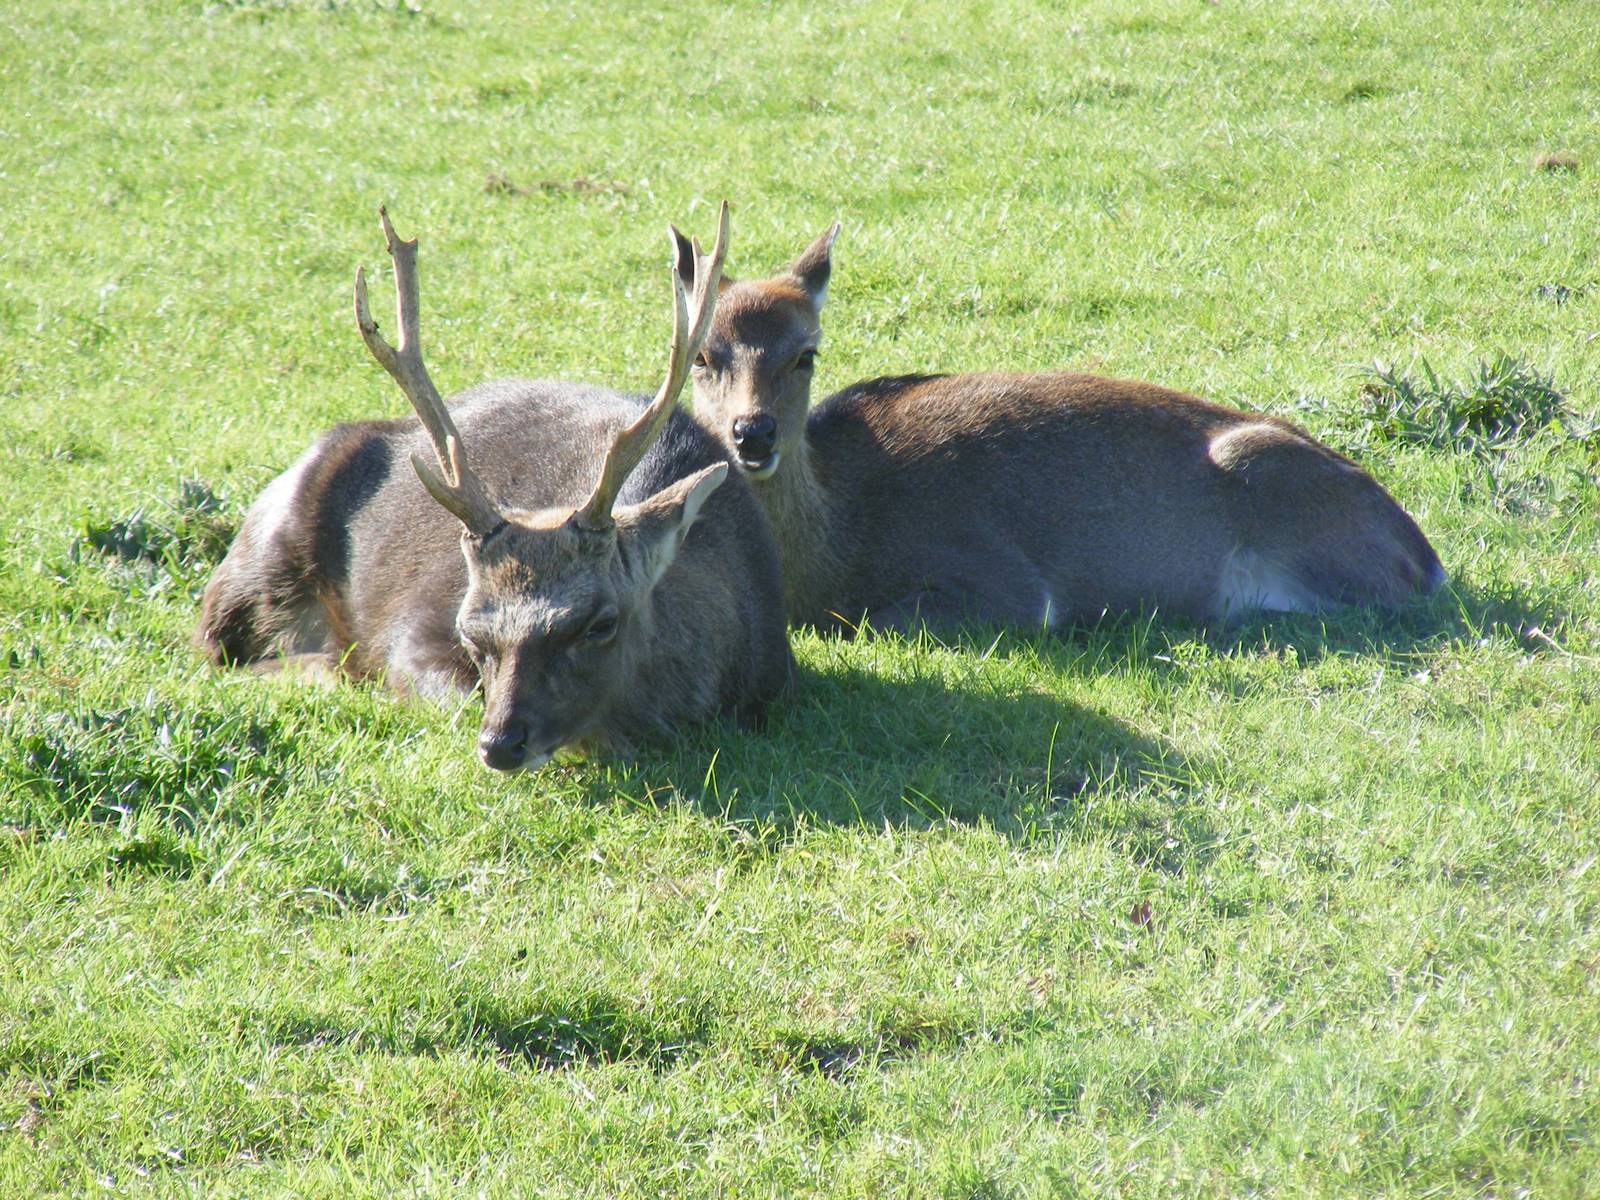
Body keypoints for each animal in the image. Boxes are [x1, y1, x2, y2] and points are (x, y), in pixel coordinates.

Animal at [197, 204, 791, 771]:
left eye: (600, 623)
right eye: (472, 631)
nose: (502, 744)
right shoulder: (414, 630)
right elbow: (448, 695)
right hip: (255, 566)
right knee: (214, 652)